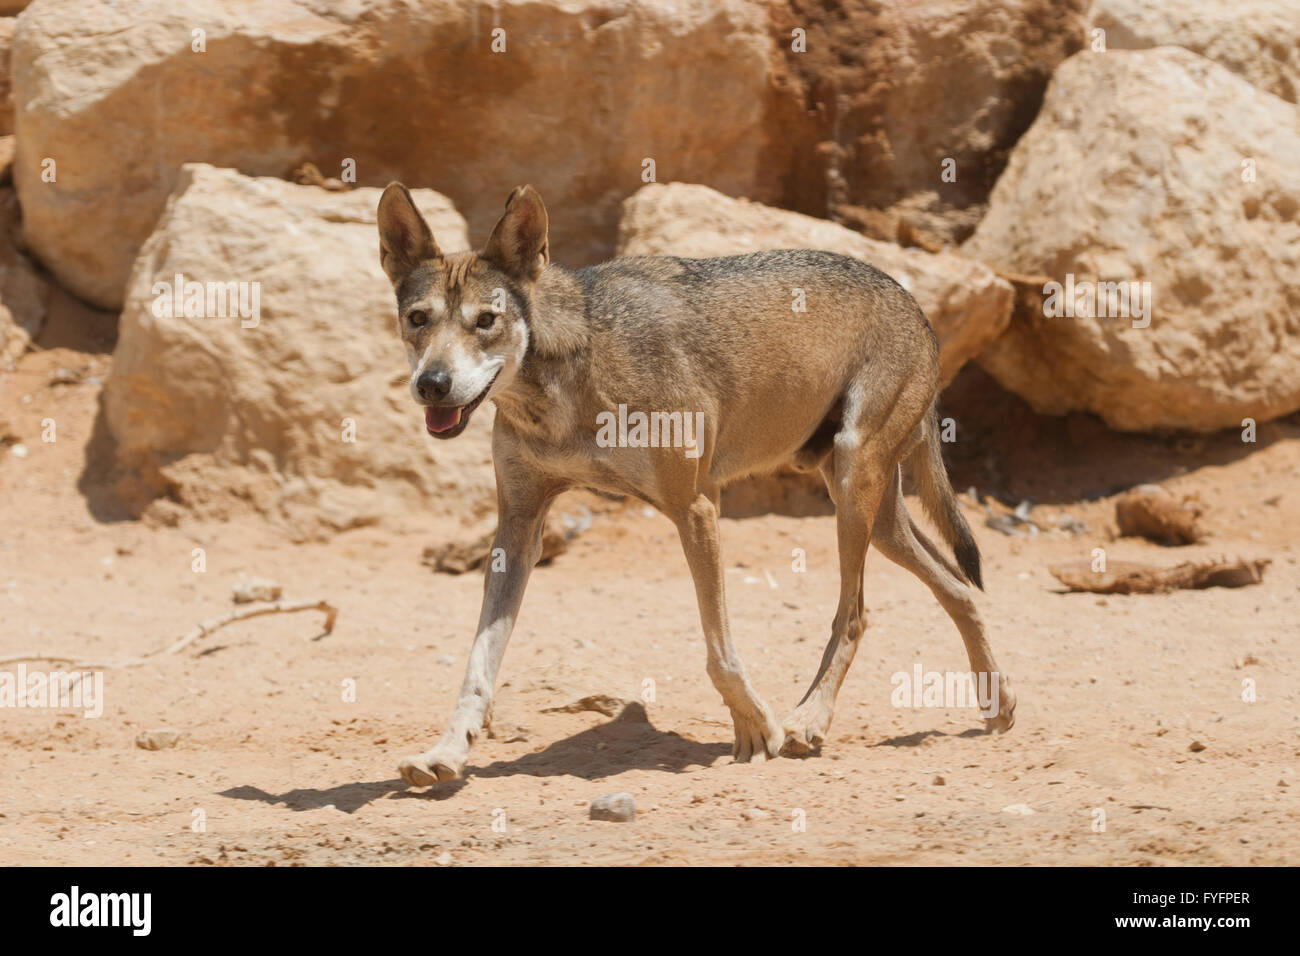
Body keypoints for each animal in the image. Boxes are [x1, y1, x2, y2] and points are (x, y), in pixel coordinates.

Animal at [377, 180, 1013, 785]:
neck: (564, 381)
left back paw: (809, 719)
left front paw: (759, 730)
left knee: (855, 614)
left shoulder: (696, 508)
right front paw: (446, 753)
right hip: (873, 514)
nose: (432, 384)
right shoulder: (518, 528)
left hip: (856, 489)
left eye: (485, 321)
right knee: (958, 587)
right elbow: (478, 665)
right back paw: (998, 702)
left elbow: (719, 654)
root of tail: (909, 298)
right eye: (417, 320)